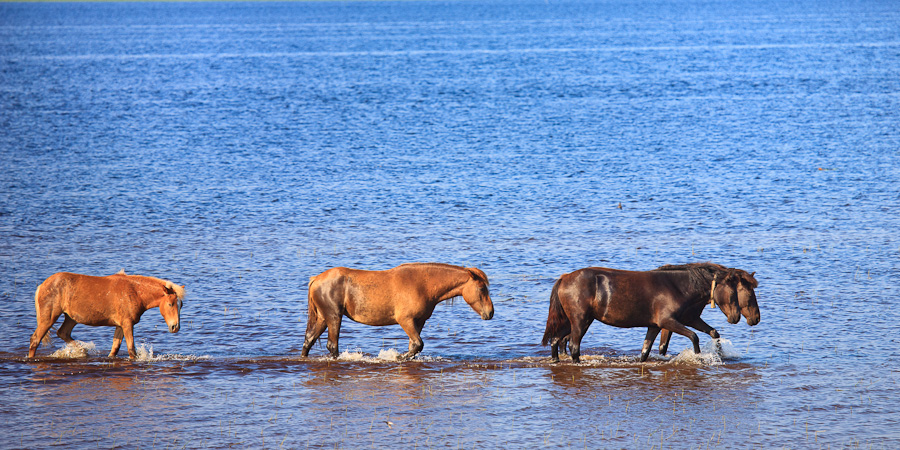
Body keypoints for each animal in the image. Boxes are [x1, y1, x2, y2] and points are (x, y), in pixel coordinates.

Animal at [28, 270, 186, 358]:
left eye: (181, 305)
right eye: (170, 304)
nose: (175, 327)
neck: (135, 291)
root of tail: (42, 285)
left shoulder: (120, 325)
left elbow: (115, 349)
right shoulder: (127, 324)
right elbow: (131, 350)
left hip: (71, 318)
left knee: (63, 333)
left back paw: (83, 351)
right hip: (49, 318)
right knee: (35, 339)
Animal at [306, 262, 496, 360]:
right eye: (481, 289)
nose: (490, 313)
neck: (422, 284)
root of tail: (316, 279)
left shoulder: (419, 321)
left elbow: (414, 346)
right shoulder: (405, 320)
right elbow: (418, 344)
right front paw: (397, 357)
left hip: (323, 318)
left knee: (309, 340)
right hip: (334, 317)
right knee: (332, 345)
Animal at [540, 264, 760, 362]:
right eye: (744, 293)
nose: (754, 319)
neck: (678, 287)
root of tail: (565, 277)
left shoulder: (656, 325)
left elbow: (646, 352)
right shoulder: (668, 322)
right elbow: (694, 337)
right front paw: (697, 357)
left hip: (574, 321)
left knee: (556, 340)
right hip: (580, 321)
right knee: (573, 346)